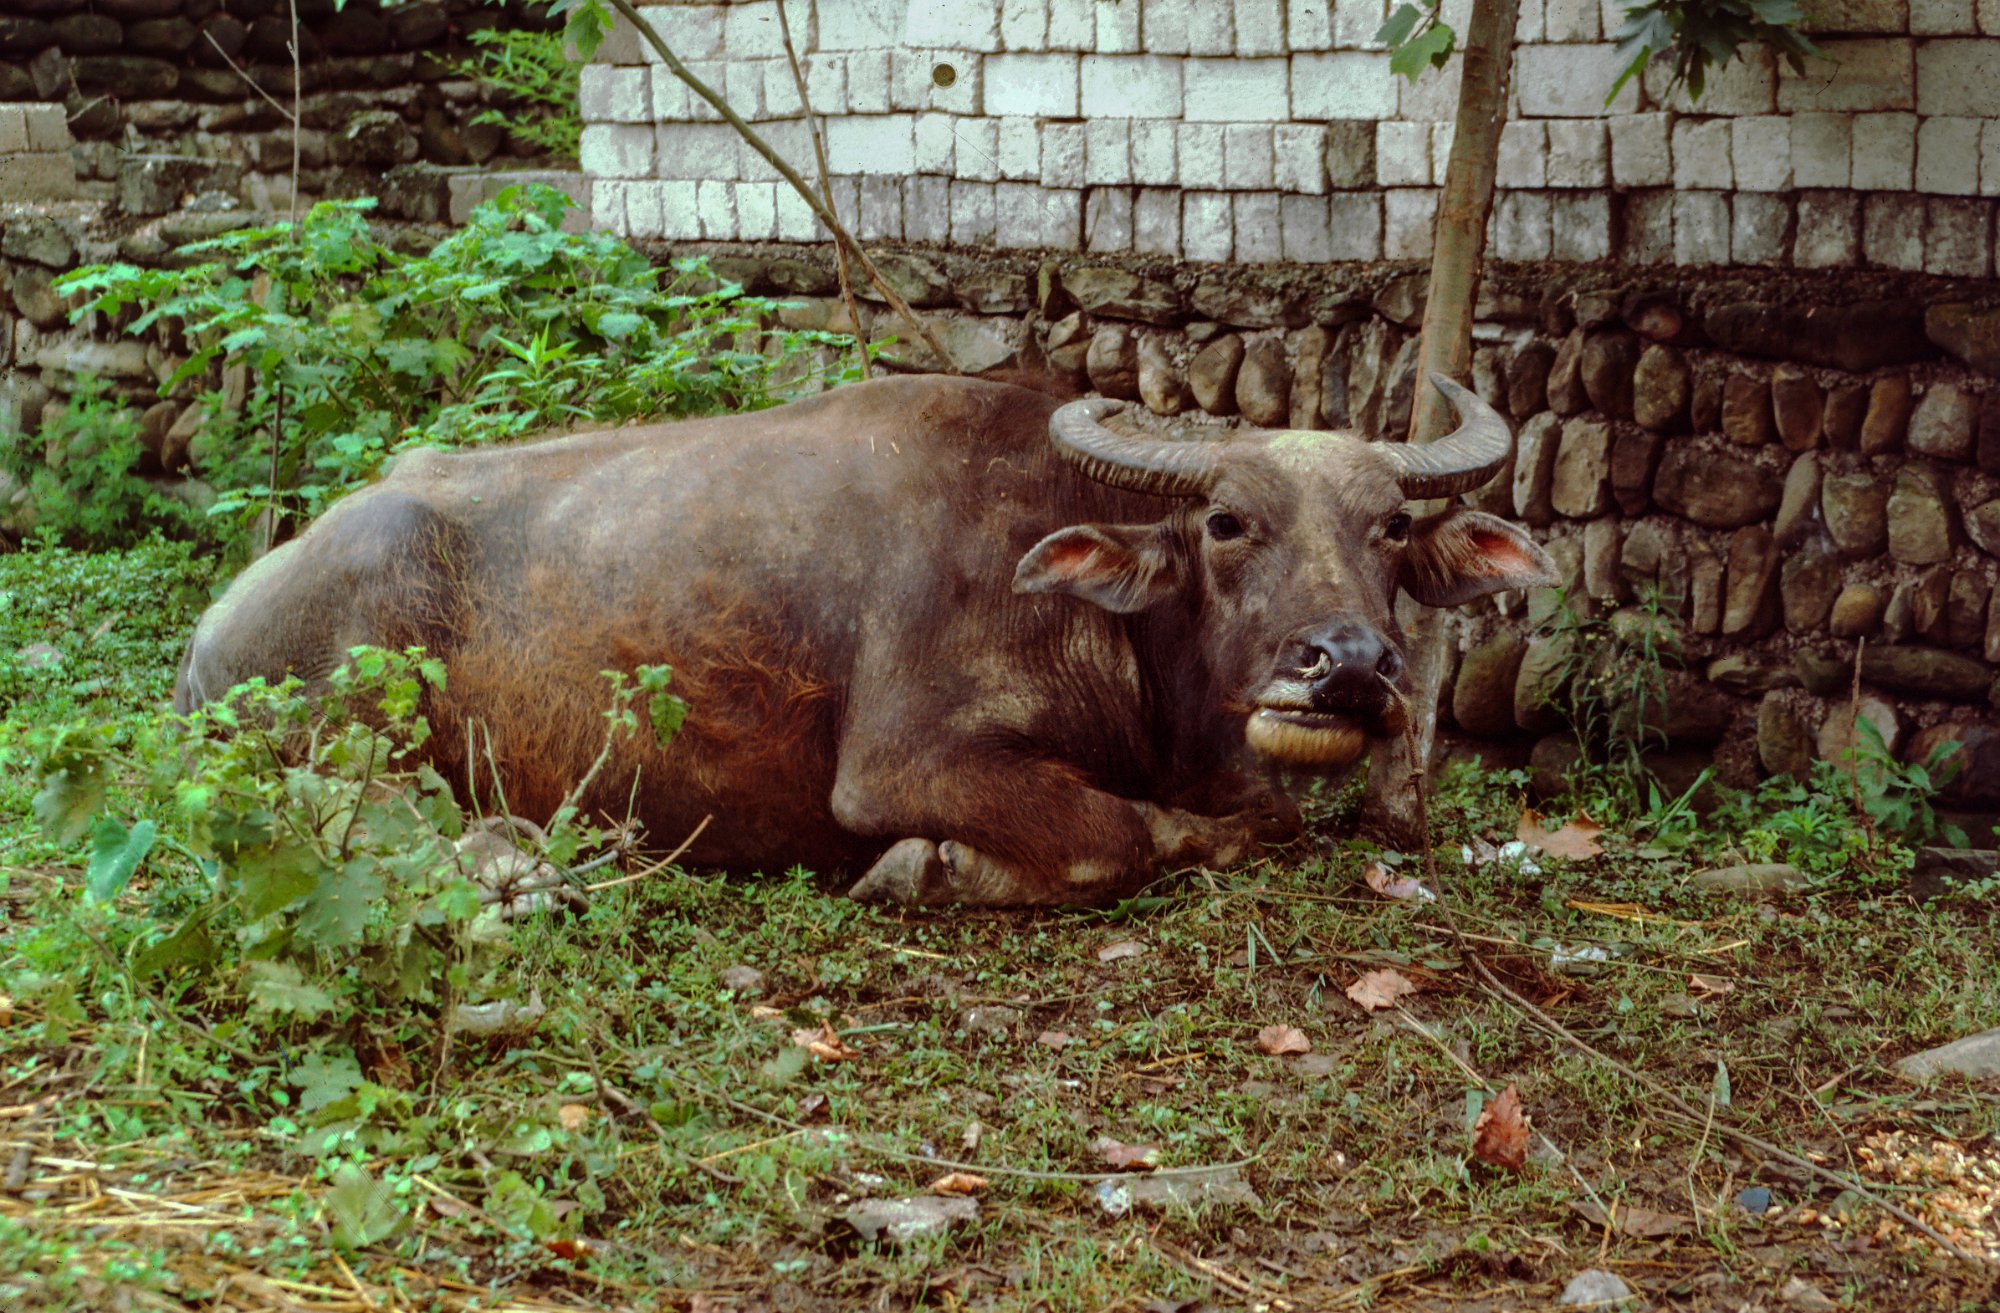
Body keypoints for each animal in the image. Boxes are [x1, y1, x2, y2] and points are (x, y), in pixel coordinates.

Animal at [174, 372, 1554, 906]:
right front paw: (926, 866)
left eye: (1388, 527)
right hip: (341, 724)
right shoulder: (901, 764)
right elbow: (1118, 834)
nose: (1350, 664)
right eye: (1225, 520)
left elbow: (1253, 819)